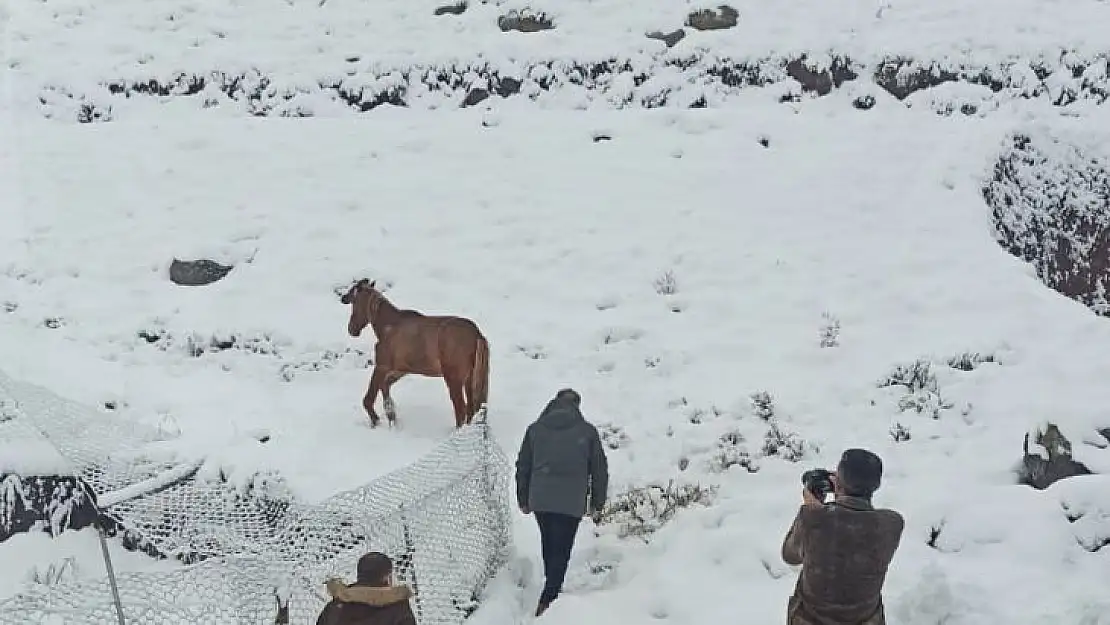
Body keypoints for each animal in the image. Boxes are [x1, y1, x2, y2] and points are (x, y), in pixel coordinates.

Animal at [337, 279, 490, 430]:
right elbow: (385, 386)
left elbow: (368, 398)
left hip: (454, 380)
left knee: (461, 410)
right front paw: (391, 416)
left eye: (353, 301)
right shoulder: (401, 370)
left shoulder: (381, 367)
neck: (388, 326)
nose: (351, 329)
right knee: (472, 409)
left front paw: (376, 420)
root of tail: (476, 334)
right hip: (469, 380)